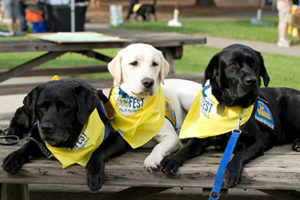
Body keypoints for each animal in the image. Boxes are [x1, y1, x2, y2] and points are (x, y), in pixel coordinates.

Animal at [159, 43, 300, 188]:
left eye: (254, 63)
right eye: (233, 64)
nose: (251, 80)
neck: (231, 106)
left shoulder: (257, 142)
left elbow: (239, 155)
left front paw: (231, 171)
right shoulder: (201, 138)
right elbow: (187, 147)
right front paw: (172, 159)